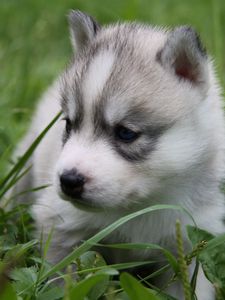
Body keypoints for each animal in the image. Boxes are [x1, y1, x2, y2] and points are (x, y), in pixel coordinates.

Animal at [14, 10, 225, 298]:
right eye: (69, 124)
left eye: (125, 133)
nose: (68, 180)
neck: (142, 205)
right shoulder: (62, 227)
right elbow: (61, 278)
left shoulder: (192, 244)